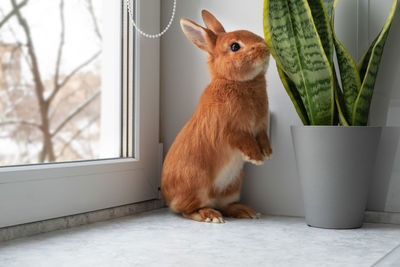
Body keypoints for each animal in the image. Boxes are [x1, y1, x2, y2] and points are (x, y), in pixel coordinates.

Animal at [160, 9, 272, 224]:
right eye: (235, 46)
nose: (265, 48)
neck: (236, 81)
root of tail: (168, 198)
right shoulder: (229, 129)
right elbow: (243, 139)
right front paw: (256, 158)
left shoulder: (261, 127)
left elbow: (262, 138)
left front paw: (268, 153)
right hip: (197, 184)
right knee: (188, 210)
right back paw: (210, 216)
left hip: (233, 186)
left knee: (224, 205)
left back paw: (245, 211)